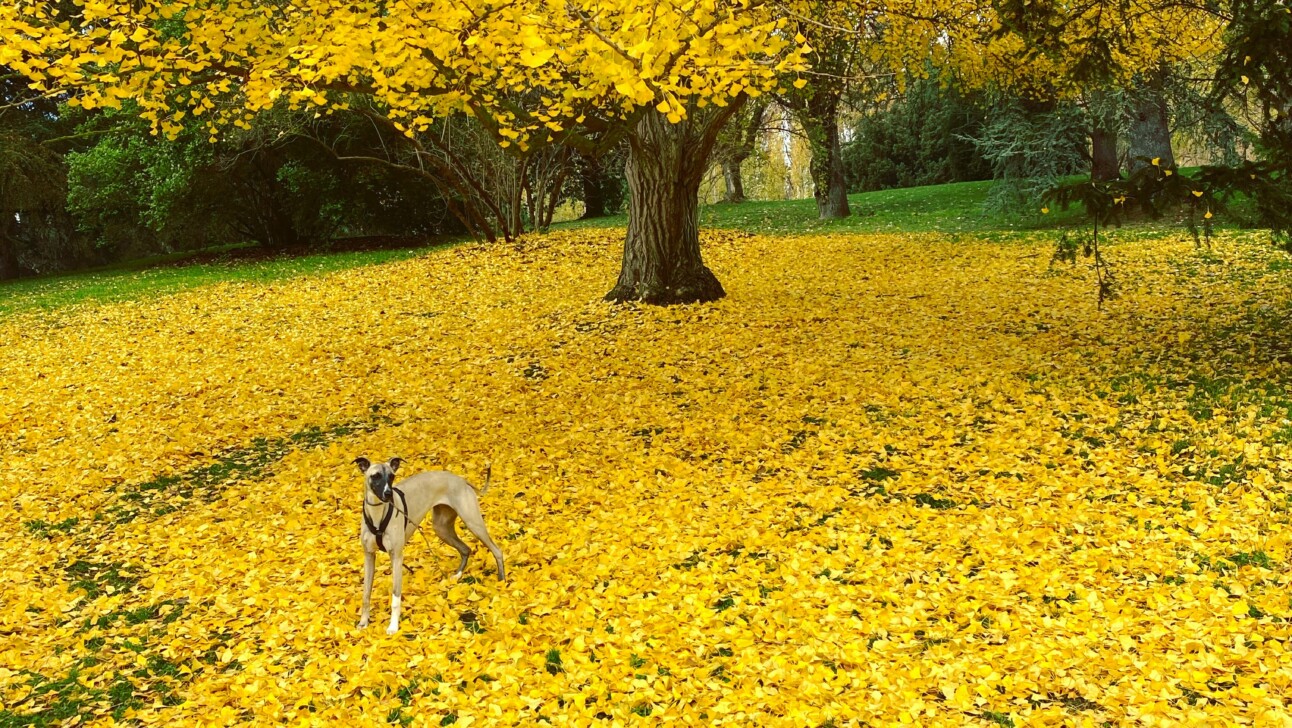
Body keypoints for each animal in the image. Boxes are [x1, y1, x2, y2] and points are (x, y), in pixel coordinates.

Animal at [354, 457, 503, 636]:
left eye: (391, 476)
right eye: (375, 476)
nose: (388, 494)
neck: (377, 516)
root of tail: (461, 480)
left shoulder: (396, 556)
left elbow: (395, 598)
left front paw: (393, 626)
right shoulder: (369, 556)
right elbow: (365, 595)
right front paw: (363, 623)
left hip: (473, 522)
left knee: (497, 550)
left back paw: (502, 581)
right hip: (442, 528)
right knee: (466, 549)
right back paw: (457, 576)